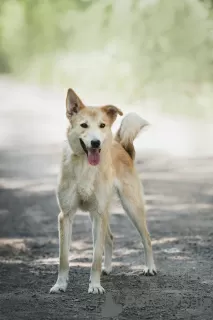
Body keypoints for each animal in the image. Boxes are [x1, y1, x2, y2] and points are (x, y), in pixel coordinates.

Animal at [50, 87, 156, 296]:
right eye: (84, 125)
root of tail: (121, 145)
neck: (85, 166)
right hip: (98, 213)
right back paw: (107, 268)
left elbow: (95, 258)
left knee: (146, 238)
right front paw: (60, 284)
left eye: (102, 125)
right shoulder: (66, 215)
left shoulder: (99, 214)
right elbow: (63, 258)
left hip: (131, 207)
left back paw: (149, 267)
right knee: (111, 238)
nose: (96, 143)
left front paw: (95, 285)